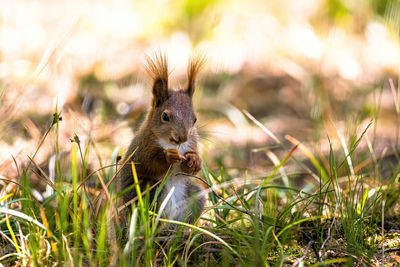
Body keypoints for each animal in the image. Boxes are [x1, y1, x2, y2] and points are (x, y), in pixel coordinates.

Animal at [116, 52, 205, 224]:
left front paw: (195, 159)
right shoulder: (143, 147)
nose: (182, 137)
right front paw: (169, 157)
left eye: (195, 119)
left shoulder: (192, 143)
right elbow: (149, 163)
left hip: (197, 194)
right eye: (165, 116)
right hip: (150, 190)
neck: (173, 144)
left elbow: (188, 170)